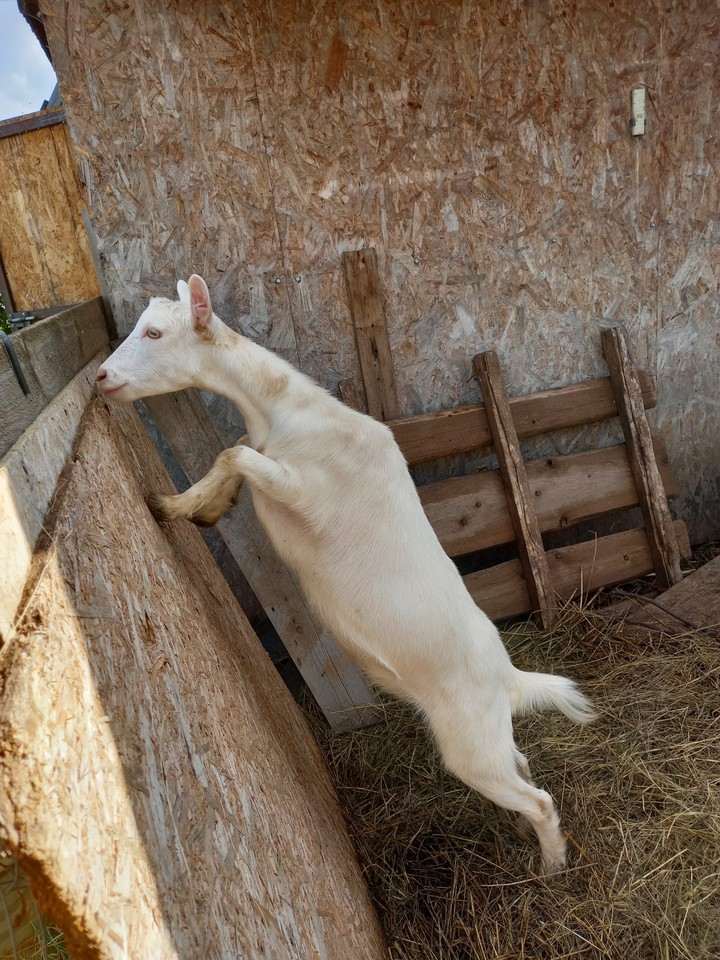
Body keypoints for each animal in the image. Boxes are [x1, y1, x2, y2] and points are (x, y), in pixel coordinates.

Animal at [95, 274, 596, 874]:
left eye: (154, 332)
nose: (101, 377)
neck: (287, 413)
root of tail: (510, 678)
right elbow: (236, 453)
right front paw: (207, 507)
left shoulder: (305, 493)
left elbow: (231, 453)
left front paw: (173, 506)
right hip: (492, 741)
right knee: (521, 768)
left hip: (469, 744)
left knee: (539, 798)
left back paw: (552, 864)